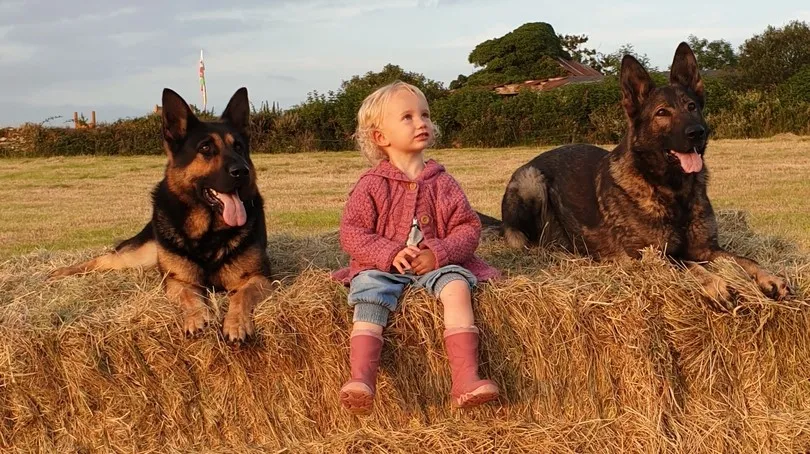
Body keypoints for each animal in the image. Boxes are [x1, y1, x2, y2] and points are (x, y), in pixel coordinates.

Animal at [50, 87, 272, 340]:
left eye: (239, 148)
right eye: (205, 148)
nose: (242, 171)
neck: (208, 234)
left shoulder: (259, 277)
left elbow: (241, 295)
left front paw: (236, 323)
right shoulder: (178, 281)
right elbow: (191, 298)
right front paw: (197, 318)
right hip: (138, 256)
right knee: (103, 259)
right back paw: (62, 271)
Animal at [480, 42, 788, 306]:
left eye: (692, 107)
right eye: (662, 113)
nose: (697, 133)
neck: (672, 190)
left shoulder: (707, 250)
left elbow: (744, 259)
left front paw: (770, 276)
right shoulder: (650, 256)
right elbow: (686, 264)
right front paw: (714, 282)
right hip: (532, 181)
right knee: (523, 238)